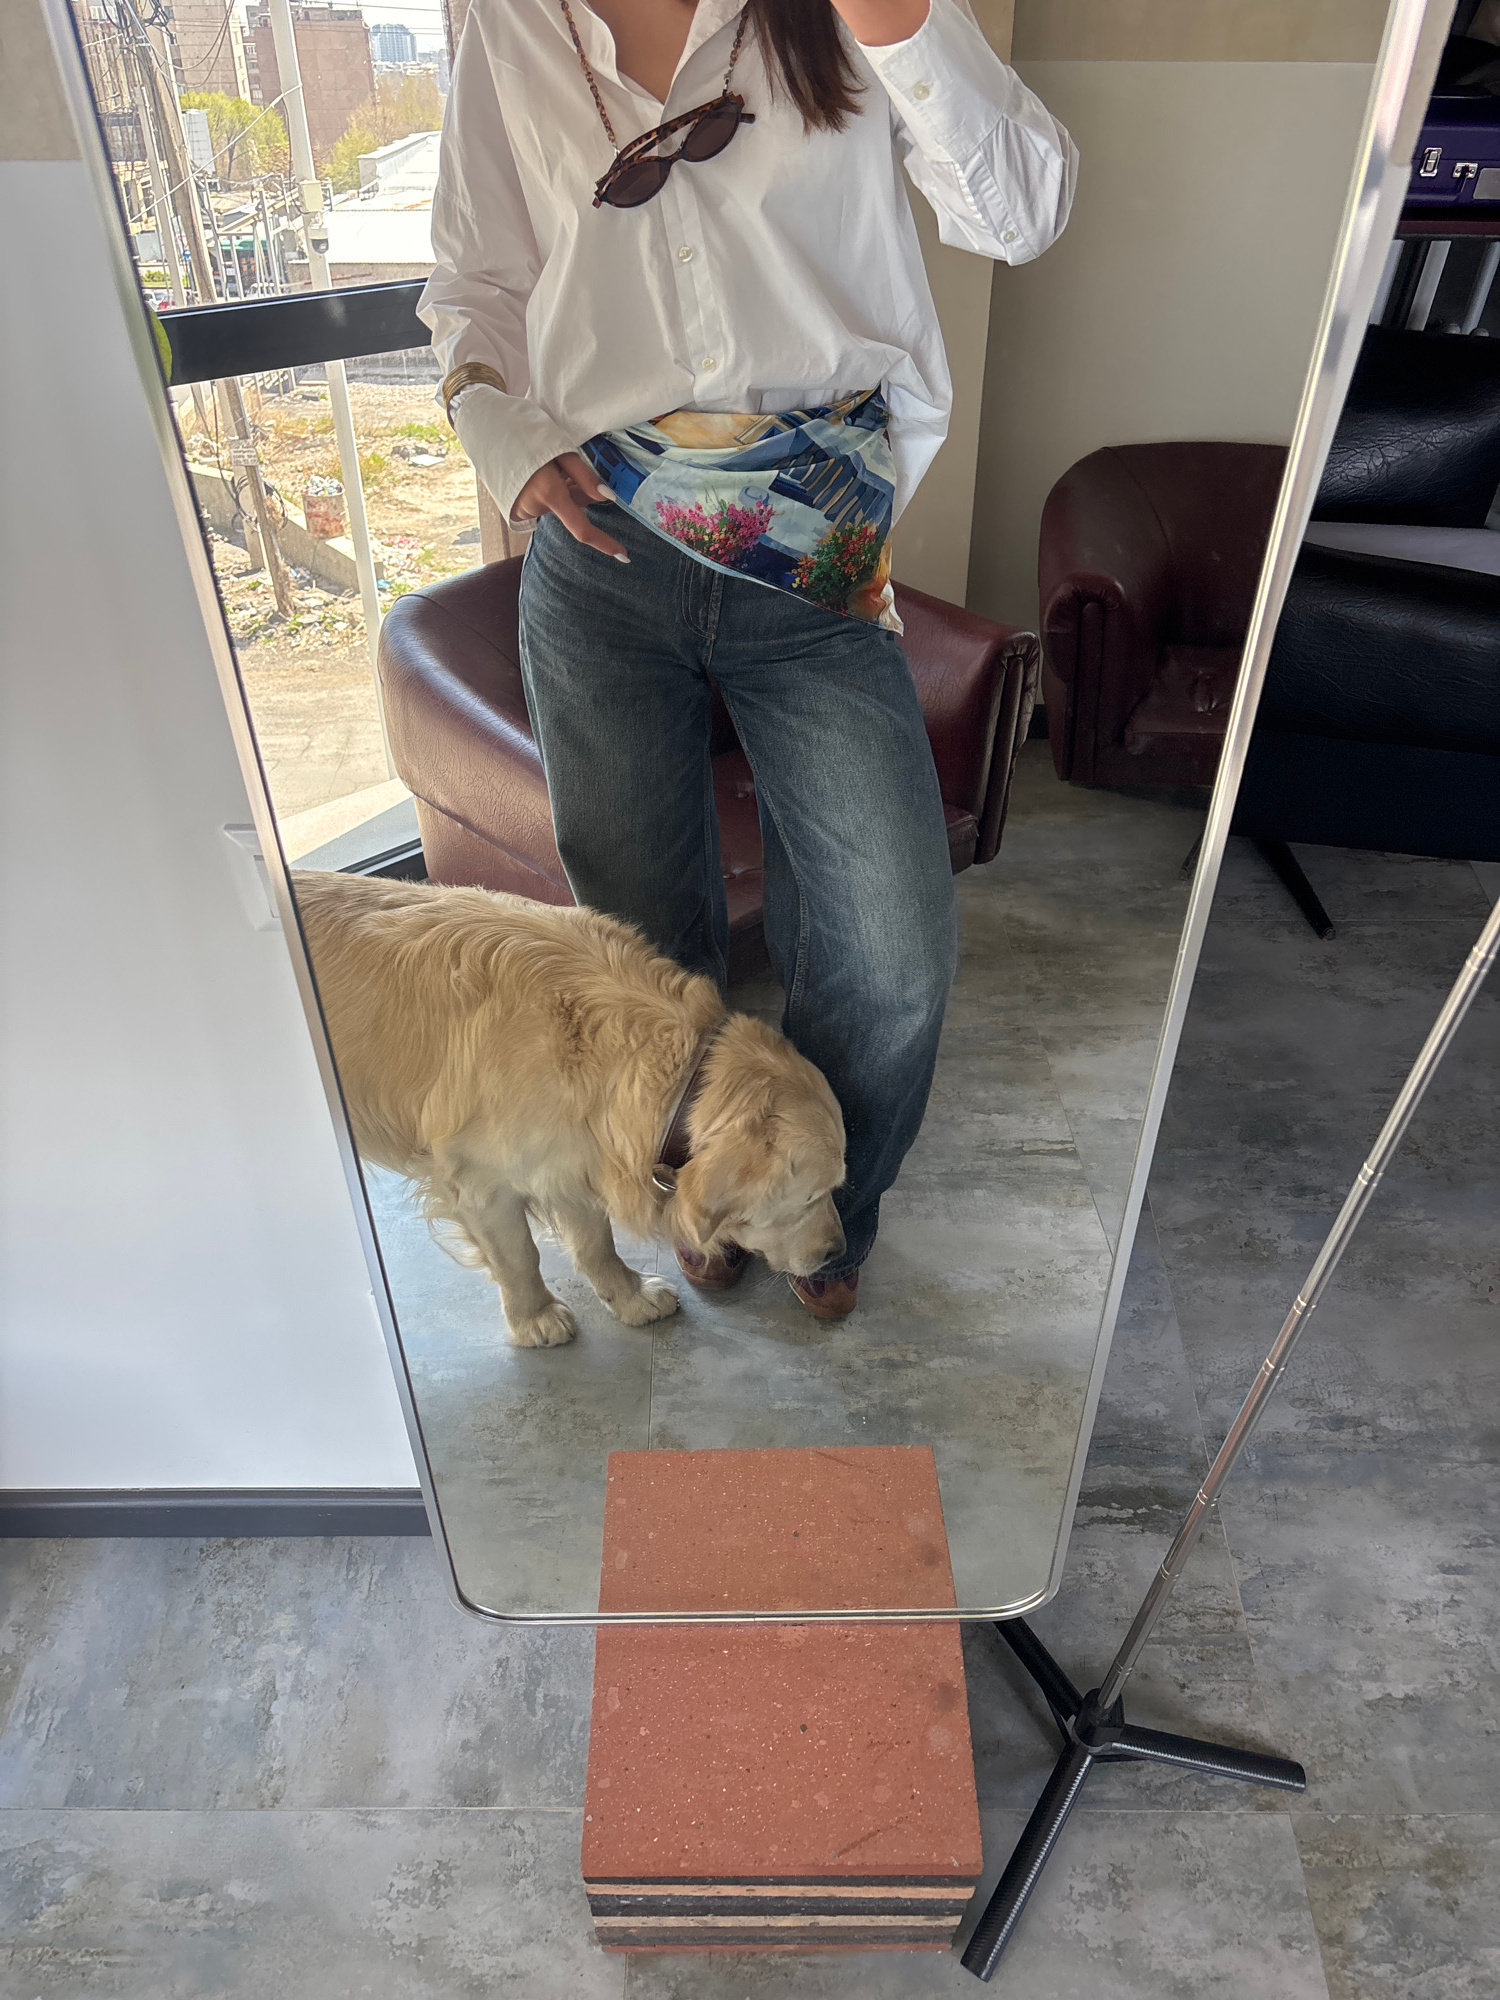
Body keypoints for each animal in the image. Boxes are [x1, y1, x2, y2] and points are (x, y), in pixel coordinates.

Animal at [291, 872, 847, 1347]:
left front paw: (629, 1296)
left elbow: (597, 1240)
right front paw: (534, 1316)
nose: (838, 1252)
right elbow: (519, 1255)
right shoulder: (480, 1180)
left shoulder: (575, 1154)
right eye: (810, 1196)